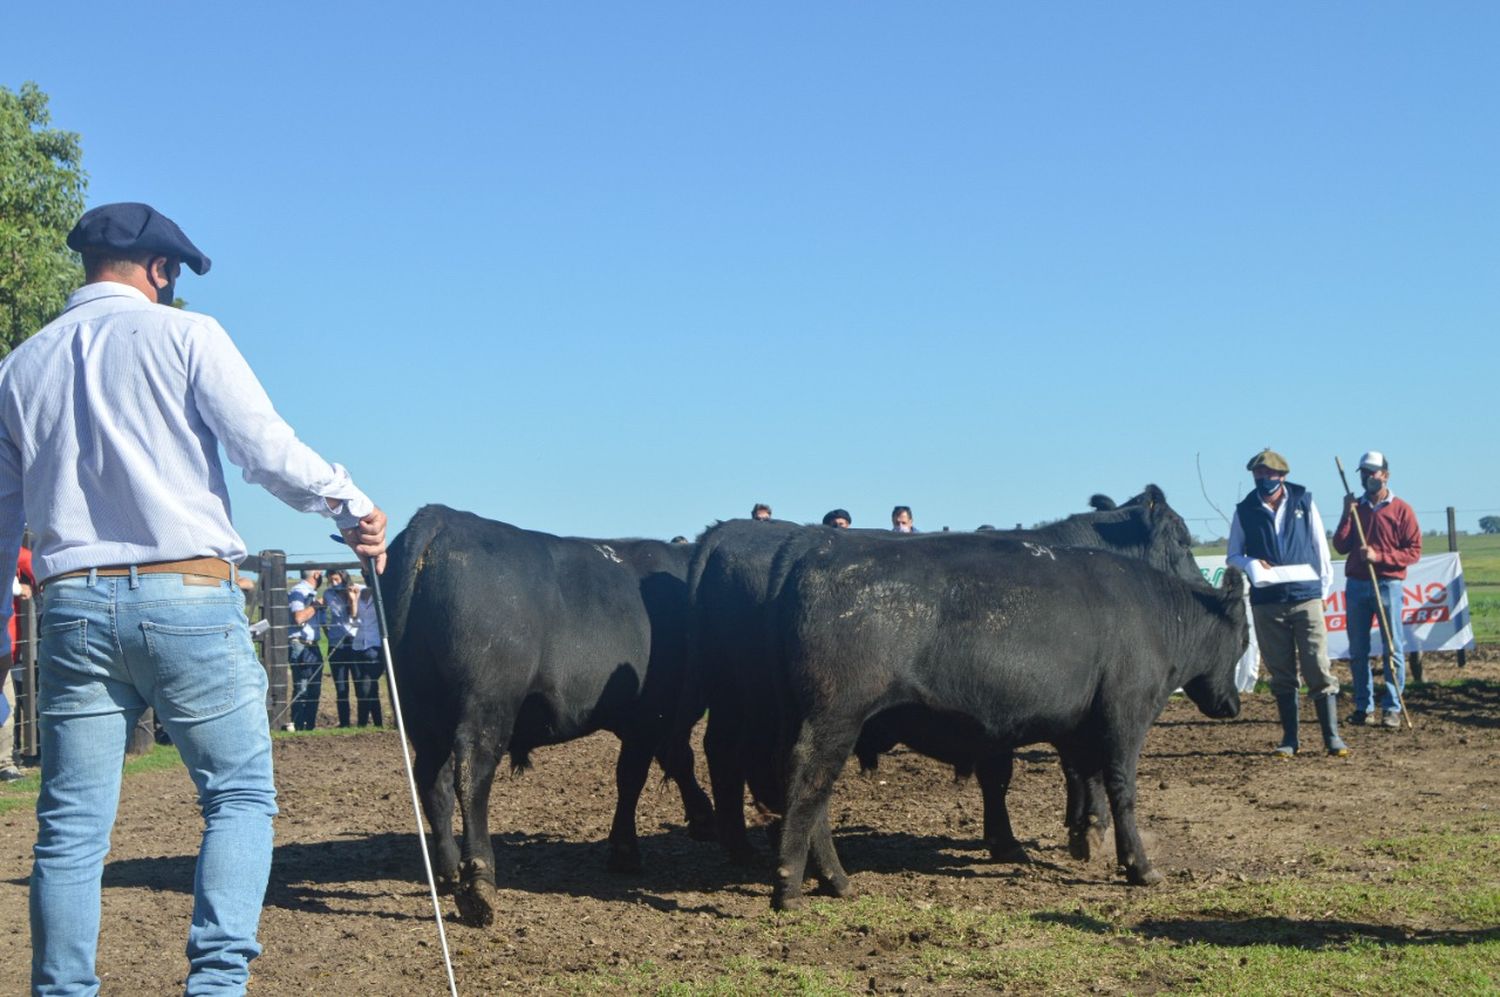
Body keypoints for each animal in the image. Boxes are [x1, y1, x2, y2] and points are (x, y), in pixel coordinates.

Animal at [387, 506, 714, 923]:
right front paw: (626, 851)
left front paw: (703, 818)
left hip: (419, 711)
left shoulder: (657, 718)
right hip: (487, 703)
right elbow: (633, 777)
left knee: (433, 782)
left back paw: (446, 872)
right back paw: (479, 883)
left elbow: (677, 760)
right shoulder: (649, 715)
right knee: (471, 777)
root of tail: (445, 517)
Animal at [768, 536, 1248, 911]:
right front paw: (1139, 866)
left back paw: (835, 880)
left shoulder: (1079, 725)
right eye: (1244, 639)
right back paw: (789, 886)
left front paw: (1086, 838)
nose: (1233, 704)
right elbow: (1121, 789)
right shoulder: (1126, 714)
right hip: (836, 716)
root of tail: (817, 551)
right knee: (808, 784)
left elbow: (1085, 778)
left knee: (816, 796)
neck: (1155, 616)